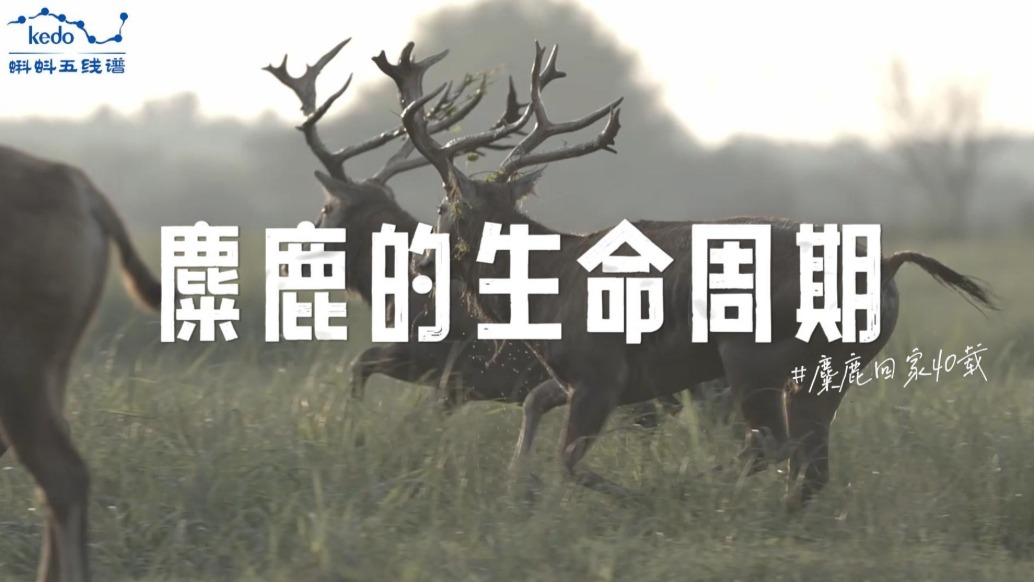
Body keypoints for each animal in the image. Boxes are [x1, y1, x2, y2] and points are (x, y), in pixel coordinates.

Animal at [263, 39, 735, 430]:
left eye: (325, 209)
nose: (289, 258)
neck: (392, 295)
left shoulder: (448, 366)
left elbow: (363, 365)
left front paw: (353, 422)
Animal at [373, 40, 999, 509]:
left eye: (442, 208)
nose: (417, 261)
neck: (544, 289)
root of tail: (887, 265)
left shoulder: (601, 371)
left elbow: (569, 459)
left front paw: (627, 496)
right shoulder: (597, 377)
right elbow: (533, 407)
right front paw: (518, 484)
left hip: (755, 354)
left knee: (772, 445)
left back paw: (695, 490)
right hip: (831, 367)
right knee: (809, 461)